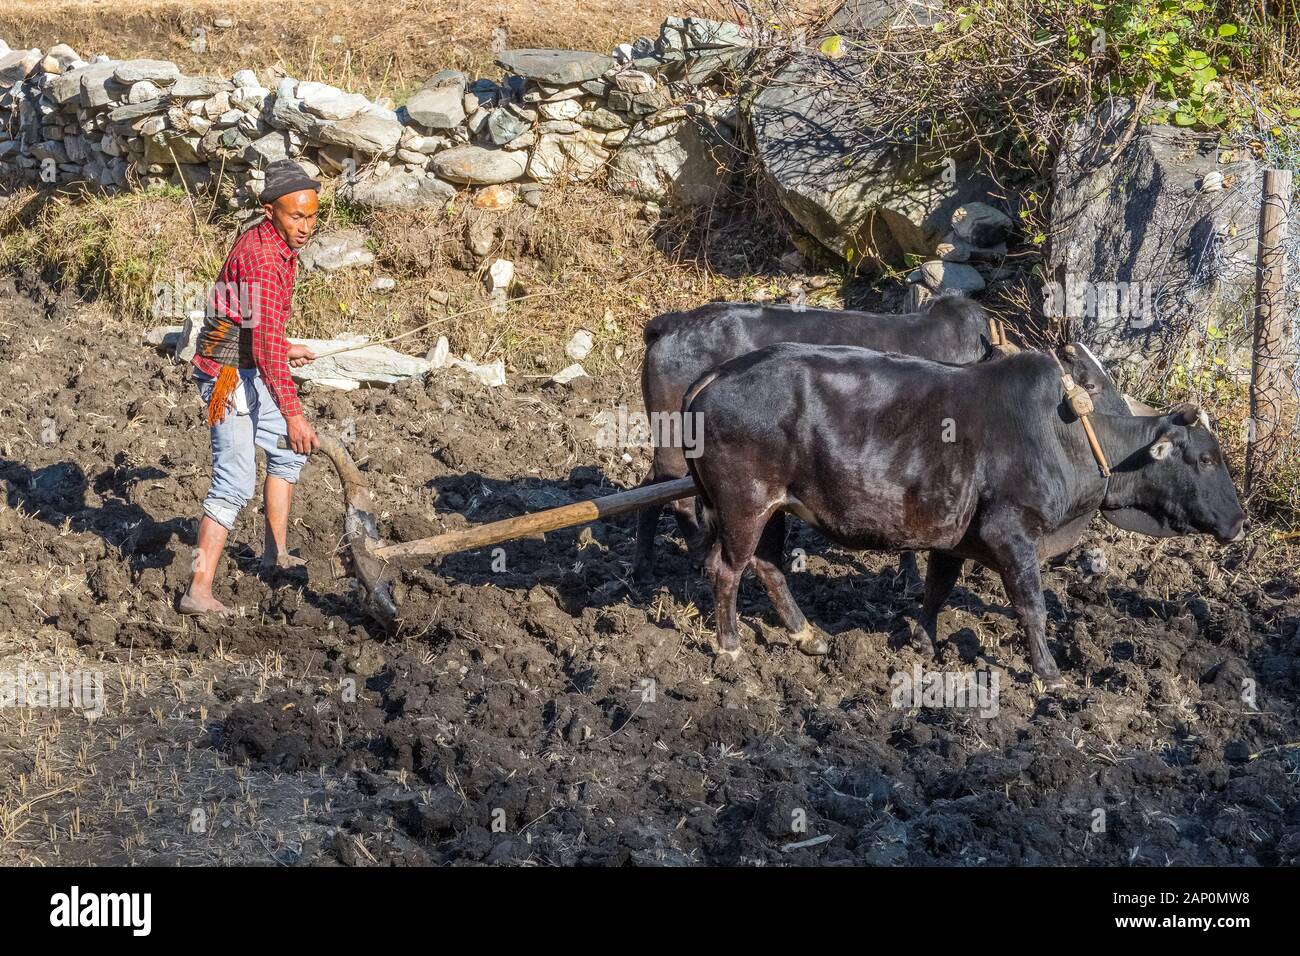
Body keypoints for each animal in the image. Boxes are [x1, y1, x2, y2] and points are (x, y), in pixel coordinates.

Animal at [637, 299, 1128, 582]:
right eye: (1087, 384)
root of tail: (669, 324)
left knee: (652, 488)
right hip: (676, 447)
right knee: (670, 497)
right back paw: (684, 557)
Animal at [686, 343, 1242, 686]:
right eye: (1206, 458)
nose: (1239, 523)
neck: (1067, 437)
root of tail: (715, 376)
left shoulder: (953, 539)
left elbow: (936, 591)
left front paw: (923, 644)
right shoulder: (1011, 533)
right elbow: (1032, 607)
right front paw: (1049, 673)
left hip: (774, 507)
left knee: (768, 567)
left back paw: (808, 638)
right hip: (744, 504)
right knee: (725, 569)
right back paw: (730, 647)